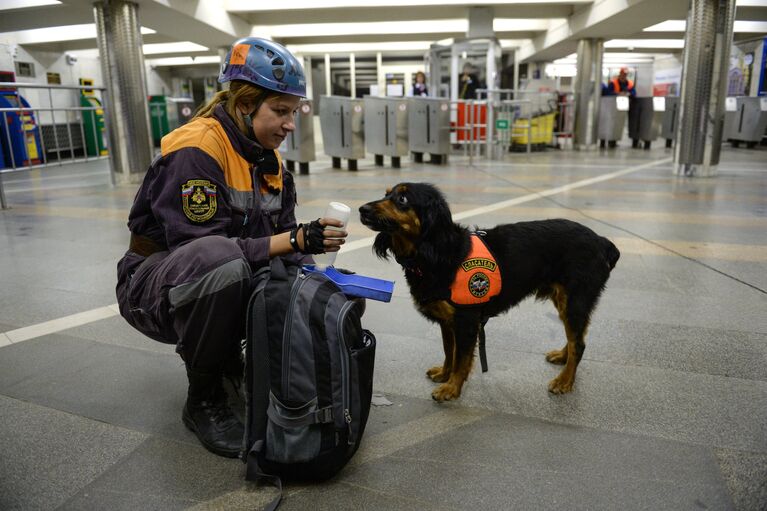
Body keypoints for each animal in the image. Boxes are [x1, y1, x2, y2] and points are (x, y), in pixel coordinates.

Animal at [358, 182, 616, 402]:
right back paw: (563, 358)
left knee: (578, 344)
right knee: (576, 338)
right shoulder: (448, 320)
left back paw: (564, 381)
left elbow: (461, 358)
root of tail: (602, 241)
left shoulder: (466, 320)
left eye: (402, 198)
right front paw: (444, 374)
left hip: (575, 298)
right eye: (386, 194)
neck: (438, 252)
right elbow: (449, 351)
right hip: (567, 300)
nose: (362, 209)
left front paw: (451, 388)